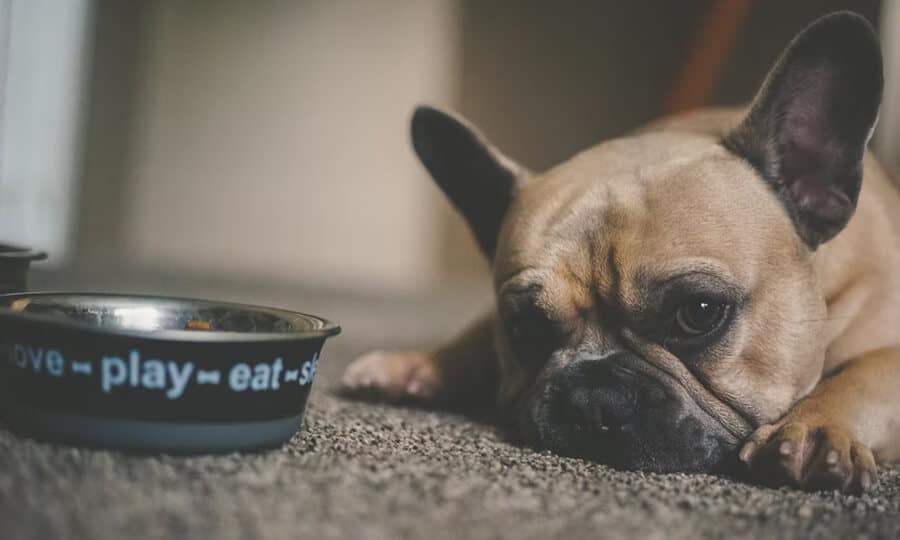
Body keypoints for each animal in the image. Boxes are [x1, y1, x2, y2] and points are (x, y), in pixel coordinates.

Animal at [342, 12, 896, 494]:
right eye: (524, 327)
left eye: (700, 313)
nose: (594, 401)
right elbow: (477, 333)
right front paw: (420, 364)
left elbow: (867, 374)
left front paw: (814, 428)